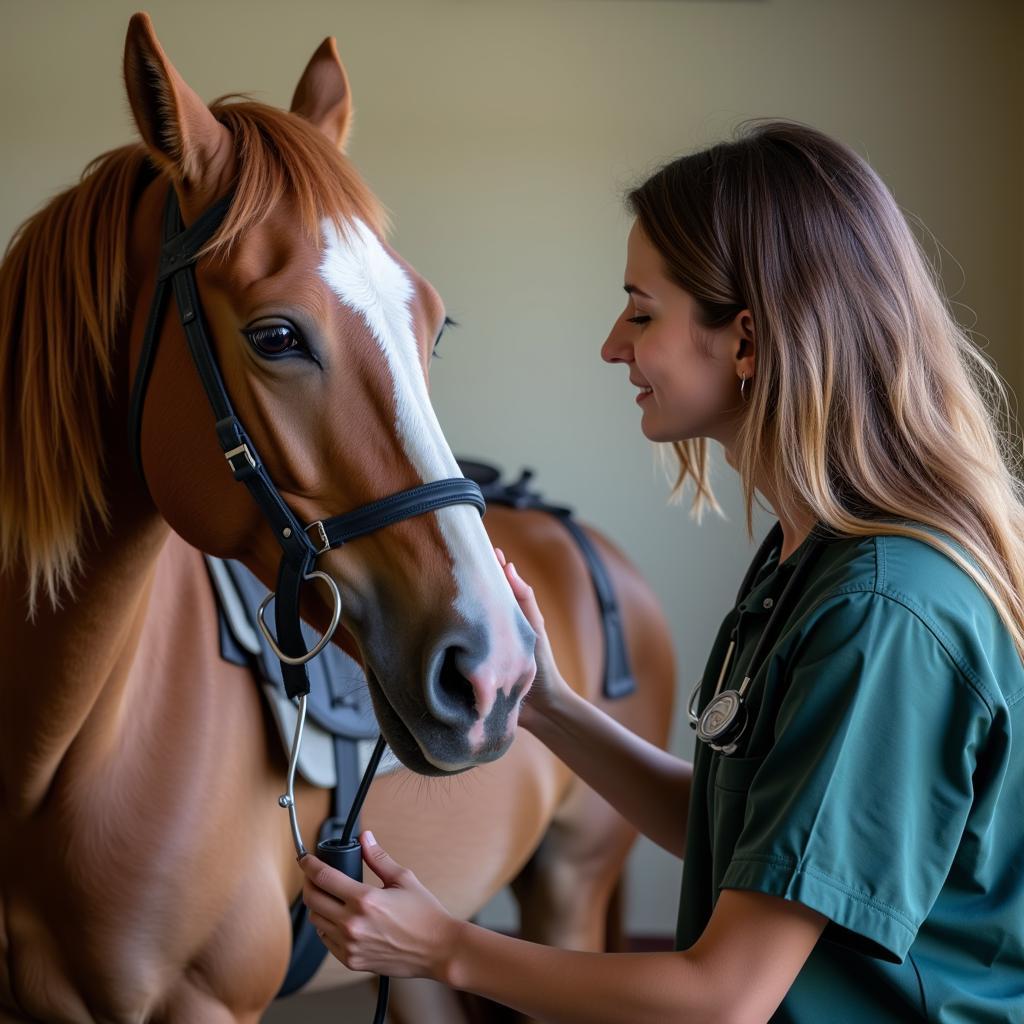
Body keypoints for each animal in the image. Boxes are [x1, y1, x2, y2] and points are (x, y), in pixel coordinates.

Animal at [0, 16, 671, 1024]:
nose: (497, 673)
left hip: (570, 890)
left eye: (435, 328)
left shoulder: (203, 1002)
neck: (57, 746)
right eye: (276, 336)